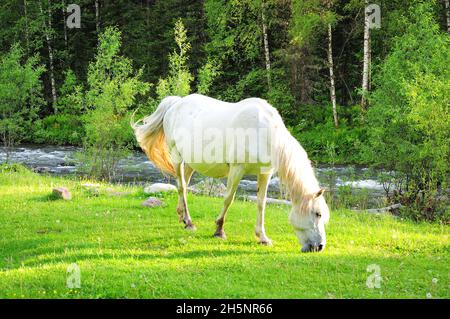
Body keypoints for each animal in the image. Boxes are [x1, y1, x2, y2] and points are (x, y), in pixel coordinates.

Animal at [132, 94, 328, 254]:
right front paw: (219, 231)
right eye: (317, 214)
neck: (263, 132)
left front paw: (262, 237)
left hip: (190, 162)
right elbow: (228, 199)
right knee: (181, 186)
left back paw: (182, 217)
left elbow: (261, 204)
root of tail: (176, 103)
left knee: (184, 186)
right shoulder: (237, 169)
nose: (319, 247)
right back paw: (189, 222)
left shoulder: (264, 174)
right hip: (176, 157)